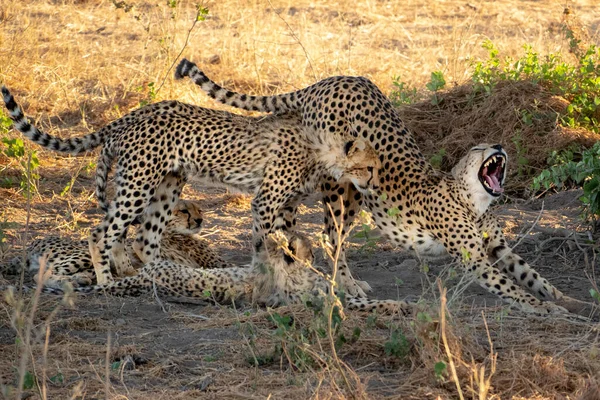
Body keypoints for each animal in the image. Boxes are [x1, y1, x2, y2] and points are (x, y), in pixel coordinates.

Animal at [9, 199, 230, 288]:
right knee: (40, 276)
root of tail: (37, 241)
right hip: (84, 254)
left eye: (199, 210)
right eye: (184, 211)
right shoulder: (215, 263)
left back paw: (79, 279)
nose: (200, 220)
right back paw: (70, 282)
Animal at [176, 58, 568, 316]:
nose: (499, 146)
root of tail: (332, 79)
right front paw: (546, 310)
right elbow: (511, 287)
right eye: (477, 149)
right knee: (330, 238)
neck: (474, 199)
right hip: (343, 183)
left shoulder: (499, 248)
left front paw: (567, 300)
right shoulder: (474, 257)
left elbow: (533, 276)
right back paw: (342, 284)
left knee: (290, 219)